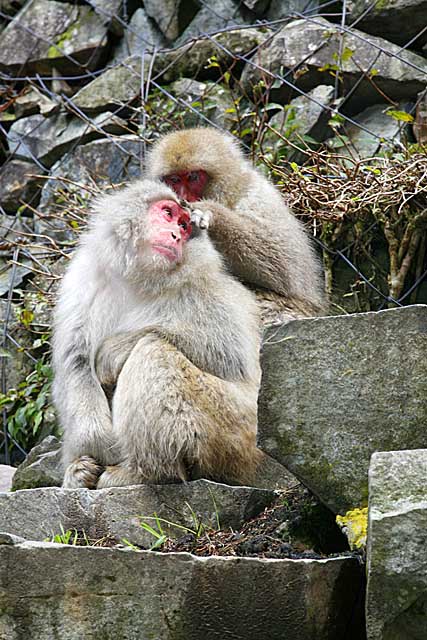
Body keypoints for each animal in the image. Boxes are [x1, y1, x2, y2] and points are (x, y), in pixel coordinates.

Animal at [53, 178, 260, 488]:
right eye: (167, 213)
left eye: (185, 226)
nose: (175, 235)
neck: (140, 279)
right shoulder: (83, 280)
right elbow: (75, 360)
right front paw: (95, 446)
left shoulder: (203, 287)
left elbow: (229, 357)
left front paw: (114, 351)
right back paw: (80, 471)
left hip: (235, 430)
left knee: (154, 351)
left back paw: (146, 473)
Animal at [145, 126, 326, 324]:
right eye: (174, 180)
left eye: (193, 177)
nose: (182, 196)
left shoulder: (259, 194)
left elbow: (284, 263)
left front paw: (211, 213)